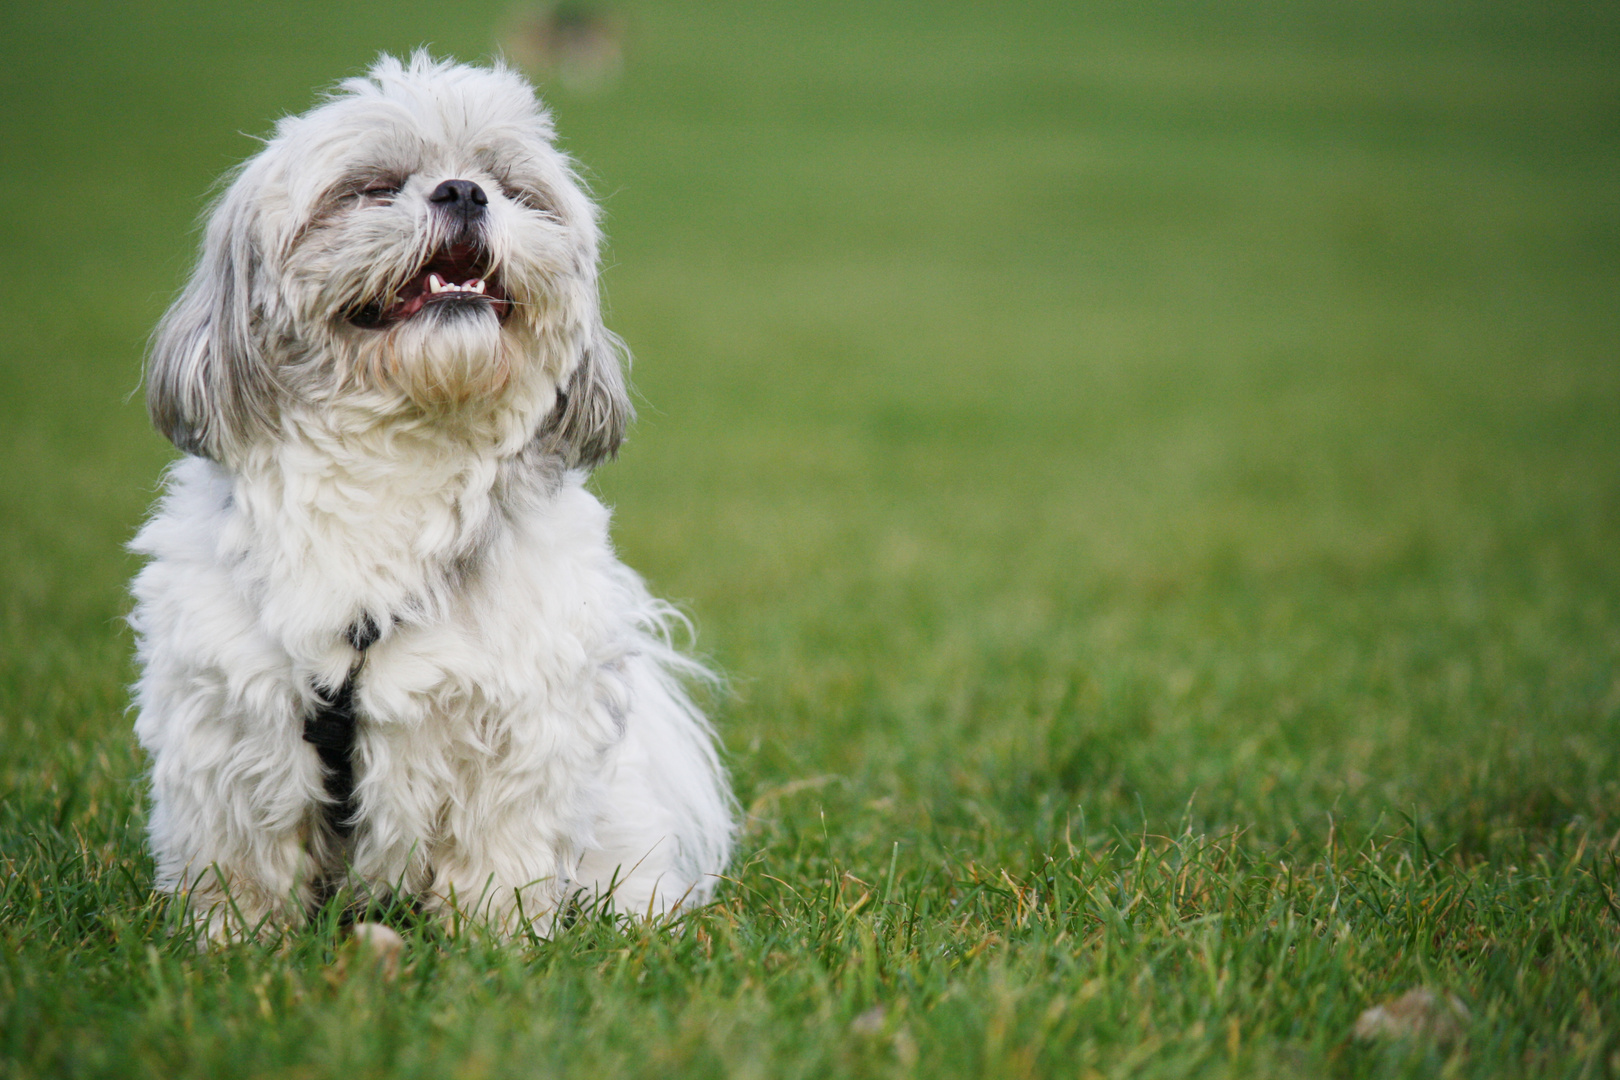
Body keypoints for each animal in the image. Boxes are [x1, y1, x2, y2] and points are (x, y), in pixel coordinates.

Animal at [129, 52, 738, 939]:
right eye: (374, 188)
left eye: (512, 188)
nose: (463, 191)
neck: (406, 443)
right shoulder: (231, 713)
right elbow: (239, 857)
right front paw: (231, 942)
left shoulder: (520, 726)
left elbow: (501, 856)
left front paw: (494, 943)